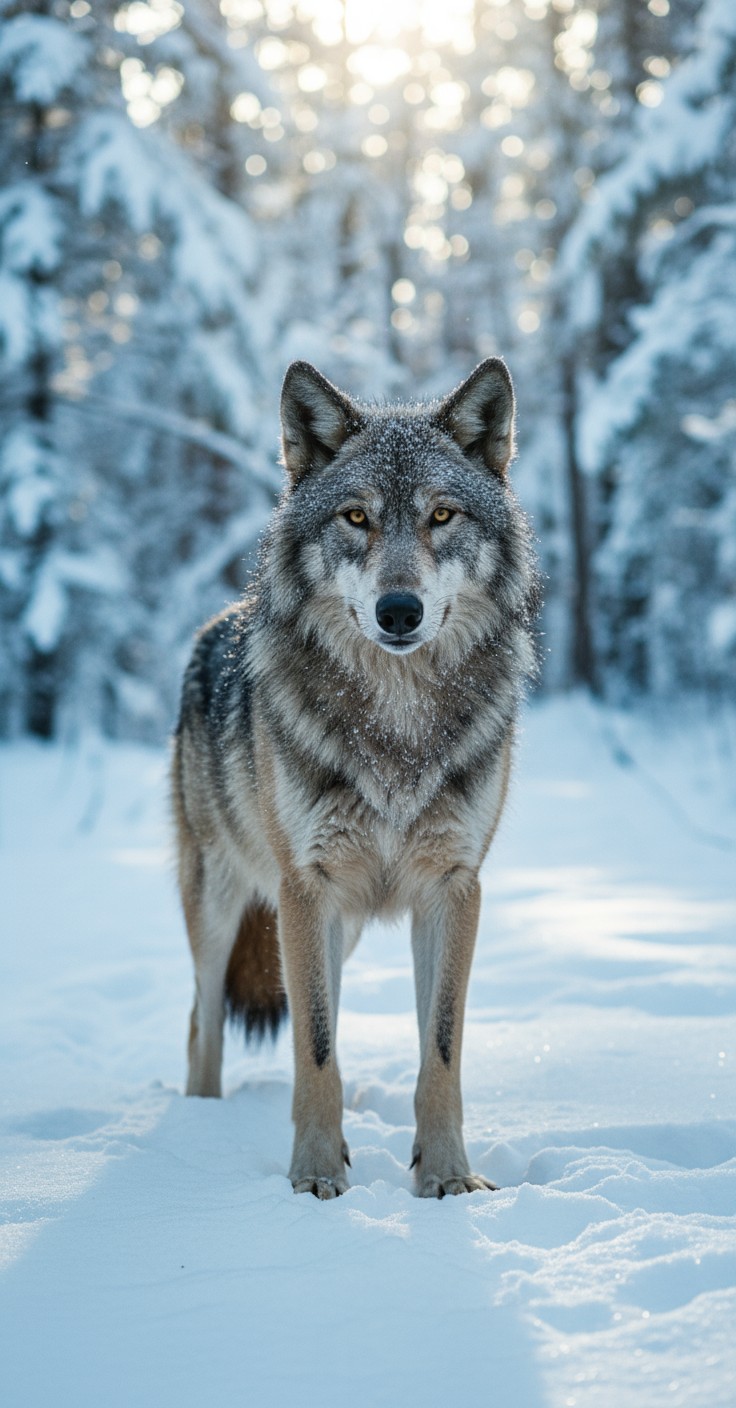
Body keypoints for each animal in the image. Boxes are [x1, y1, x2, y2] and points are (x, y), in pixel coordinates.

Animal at [172, 357, 540, 1199]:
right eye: (356, 518)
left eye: (442, 516)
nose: (398, 610)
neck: (396, 725)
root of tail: (213, 625)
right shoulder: (305, 887)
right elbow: (314, 1049)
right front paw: (313, 1178)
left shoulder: (453, 888)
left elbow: (440, 1050)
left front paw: (447, 1179)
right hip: (225, 903)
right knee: (203, 1022)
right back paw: (198, 1130)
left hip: (322, 929)